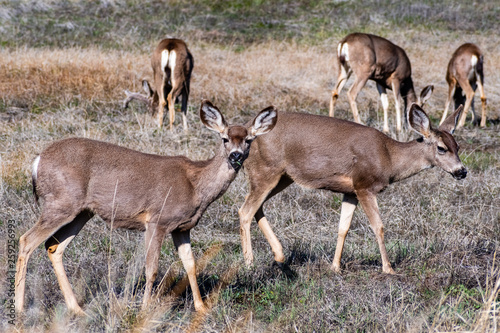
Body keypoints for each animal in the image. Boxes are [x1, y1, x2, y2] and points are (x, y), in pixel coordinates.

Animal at [14, 99, 278, 314]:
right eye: (224, 139)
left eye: (249, 140)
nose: (235, 156)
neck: (195, 185)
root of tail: (37, 161)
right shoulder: (157, 220)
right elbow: (151, 270)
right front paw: (144, 309)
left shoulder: (182, 227)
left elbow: (191, 265)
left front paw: (201, 308)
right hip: (61, 203)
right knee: (26, 240)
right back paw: (19, 309)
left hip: (81, 212)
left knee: (53, 247)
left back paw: (76, 309)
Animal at [238, 104, 464, 274]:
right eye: (441, 148)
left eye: (458, 147)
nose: (462, 171)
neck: (389, 157)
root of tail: (248, 131)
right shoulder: (364, 185)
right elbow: (378, 226)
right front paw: (388, 268)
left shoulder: (350, 191)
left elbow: (343, 228)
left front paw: (335, 267)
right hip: (266, 170)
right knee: (245, 210)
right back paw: (249, 263)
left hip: (282, 177)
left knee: (256, 208)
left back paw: (279, 255)